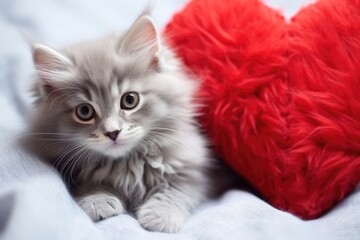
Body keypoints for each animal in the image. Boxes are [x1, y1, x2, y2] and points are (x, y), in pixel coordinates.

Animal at [28, 12, 214, 232]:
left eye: (130, 100)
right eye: (84, 111)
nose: (112, 132)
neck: (128, 163)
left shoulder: (192, 171)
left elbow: (176, 190)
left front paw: (160, 216)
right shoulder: (79, 171)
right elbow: (92, 181)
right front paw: (98, 199)